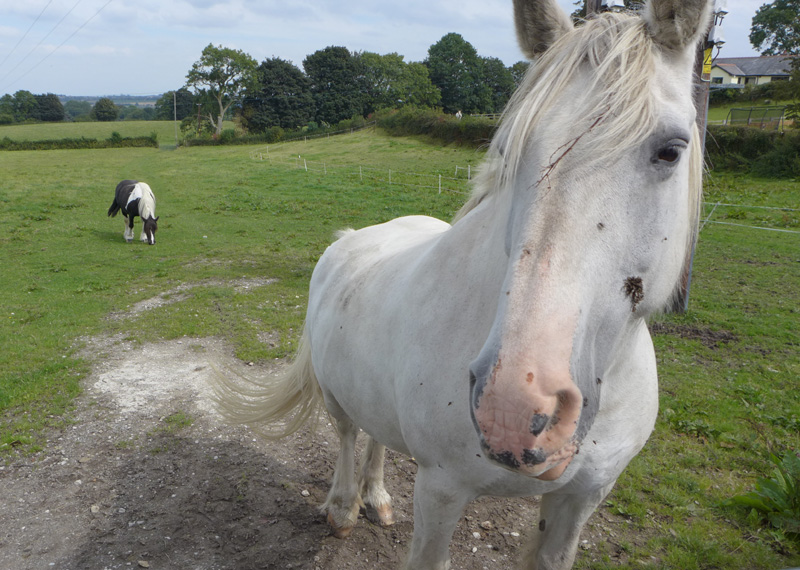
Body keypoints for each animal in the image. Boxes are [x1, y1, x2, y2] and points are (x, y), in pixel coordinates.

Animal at [216, 0, 708, 564]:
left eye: (671, 150)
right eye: (508, 151)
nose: (514, 409)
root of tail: (349, 238)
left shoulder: (581, 499)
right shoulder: (442, 489)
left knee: (377, 437)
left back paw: (377, 497)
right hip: (336, 394)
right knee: (346, 435)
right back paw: (343, 508)